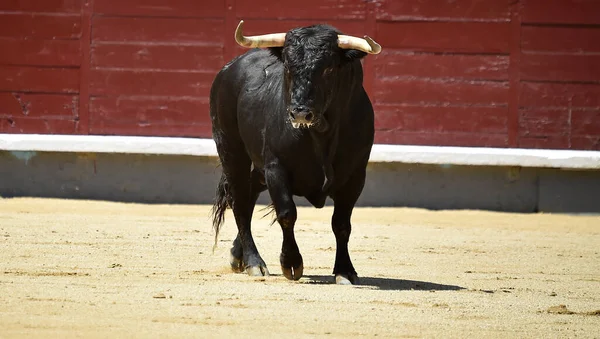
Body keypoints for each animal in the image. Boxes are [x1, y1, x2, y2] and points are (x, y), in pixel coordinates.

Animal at [209, 21, 382, 286]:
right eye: (288, 67)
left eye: (328, 68)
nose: (300, 112)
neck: (322, 132)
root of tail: (229, 68)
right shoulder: (275, 167)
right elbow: (287, 213)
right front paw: (291, 263)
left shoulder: (355, 176)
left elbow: (342, 224)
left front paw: (345, 271)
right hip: (231, 150)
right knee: (239, 202)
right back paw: (254, 262)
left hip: (256, 168)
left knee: (248, 196)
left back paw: (238, 256)